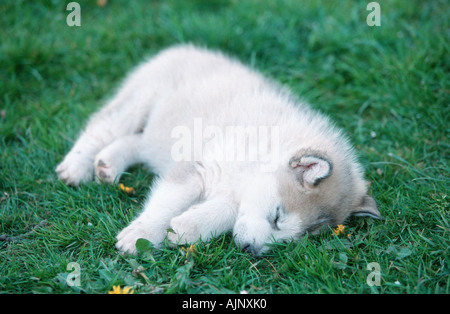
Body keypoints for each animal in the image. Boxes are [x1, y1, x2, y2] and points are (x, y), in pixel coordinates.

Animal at [56, 45, 380, 256]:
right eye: (277, 217)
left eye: (295, 239)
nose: (251, 250)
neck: (262, 154)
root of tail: (183, 48)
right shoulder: (197, 167)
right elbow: (164, 205)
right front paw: (142, 235)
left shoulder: (234, 191)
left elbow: (226, 212)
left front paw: (186, 228)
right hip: (140, 99)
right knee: (101, 127)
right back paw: (76, 167)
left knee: (138, 142)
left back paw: (109, 164)